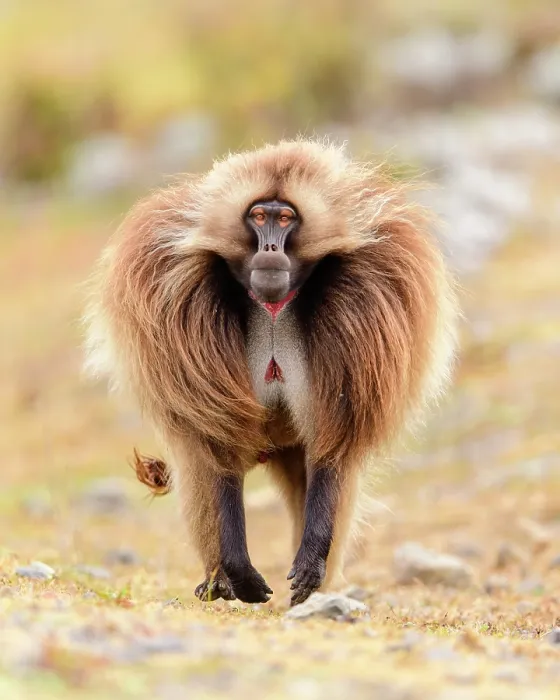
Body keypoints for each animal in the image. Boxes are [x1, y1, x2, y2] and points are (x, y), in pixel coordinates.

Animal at [84, 139, 457, 606]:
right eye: (259, 217)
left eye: (285, 219)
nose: (270, 249)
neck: (274, 310)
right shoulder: (176, 305)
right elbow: (219, 445)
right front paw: (239, 573)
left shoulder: (368, 302)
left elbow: (332, 448)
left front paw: (311, 563)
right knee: (200, 467)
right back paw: (217, 582)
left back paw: (315, 593)